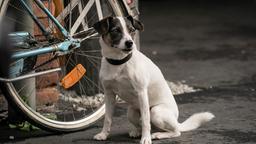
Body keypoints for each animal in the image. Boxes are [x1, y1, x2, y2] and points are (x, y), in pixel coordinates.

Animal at [92, 16, 214, 144]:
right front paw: (103, 134)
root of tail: (177, 122)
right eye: (116, 30)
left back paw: (157, 135)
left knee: (174, 131)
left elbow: (146, 120)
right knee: (142, 124)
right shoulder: (109, 94)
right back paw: (137, 132)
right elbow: (107, 118)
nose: (130, 43)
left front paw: (146, 139)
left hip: (156, 112)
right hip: (131, 112)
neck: (118, 62)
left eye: (132, 30)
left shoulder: (141, 93)